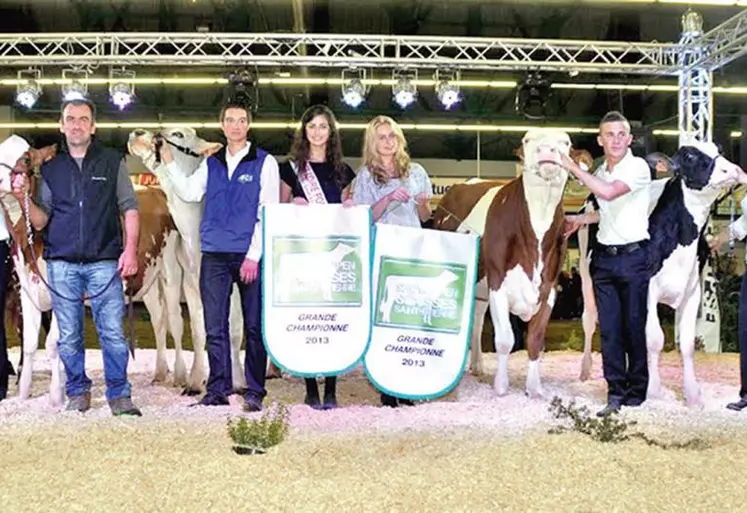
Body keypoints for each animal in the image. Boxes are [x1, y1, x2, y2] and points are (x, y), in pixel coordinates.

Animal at [432, 128, 572, 396]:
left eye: (566, 142)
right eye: (527, 140)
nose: (547, 151)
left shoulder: (549, 288)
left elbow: (535, 340)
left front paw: (534, 388)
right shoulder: (498, 283)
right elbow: (505, 339)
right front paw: (501, 386)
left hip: (481, 289)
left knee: (476, 320)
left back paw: (477, 365)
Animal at [580, 138, 747, 406]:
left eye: (719, 150)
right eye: (689, 156)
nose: (731, 170)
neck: (681, 237)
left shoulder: (692, 289)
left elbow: (687, 343)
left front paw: (693, 395)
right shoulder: (646, 288)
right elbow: (654, 339)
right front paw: (654, 391)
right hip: (586, 274)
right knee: (589, 318)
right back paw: (585, 370)